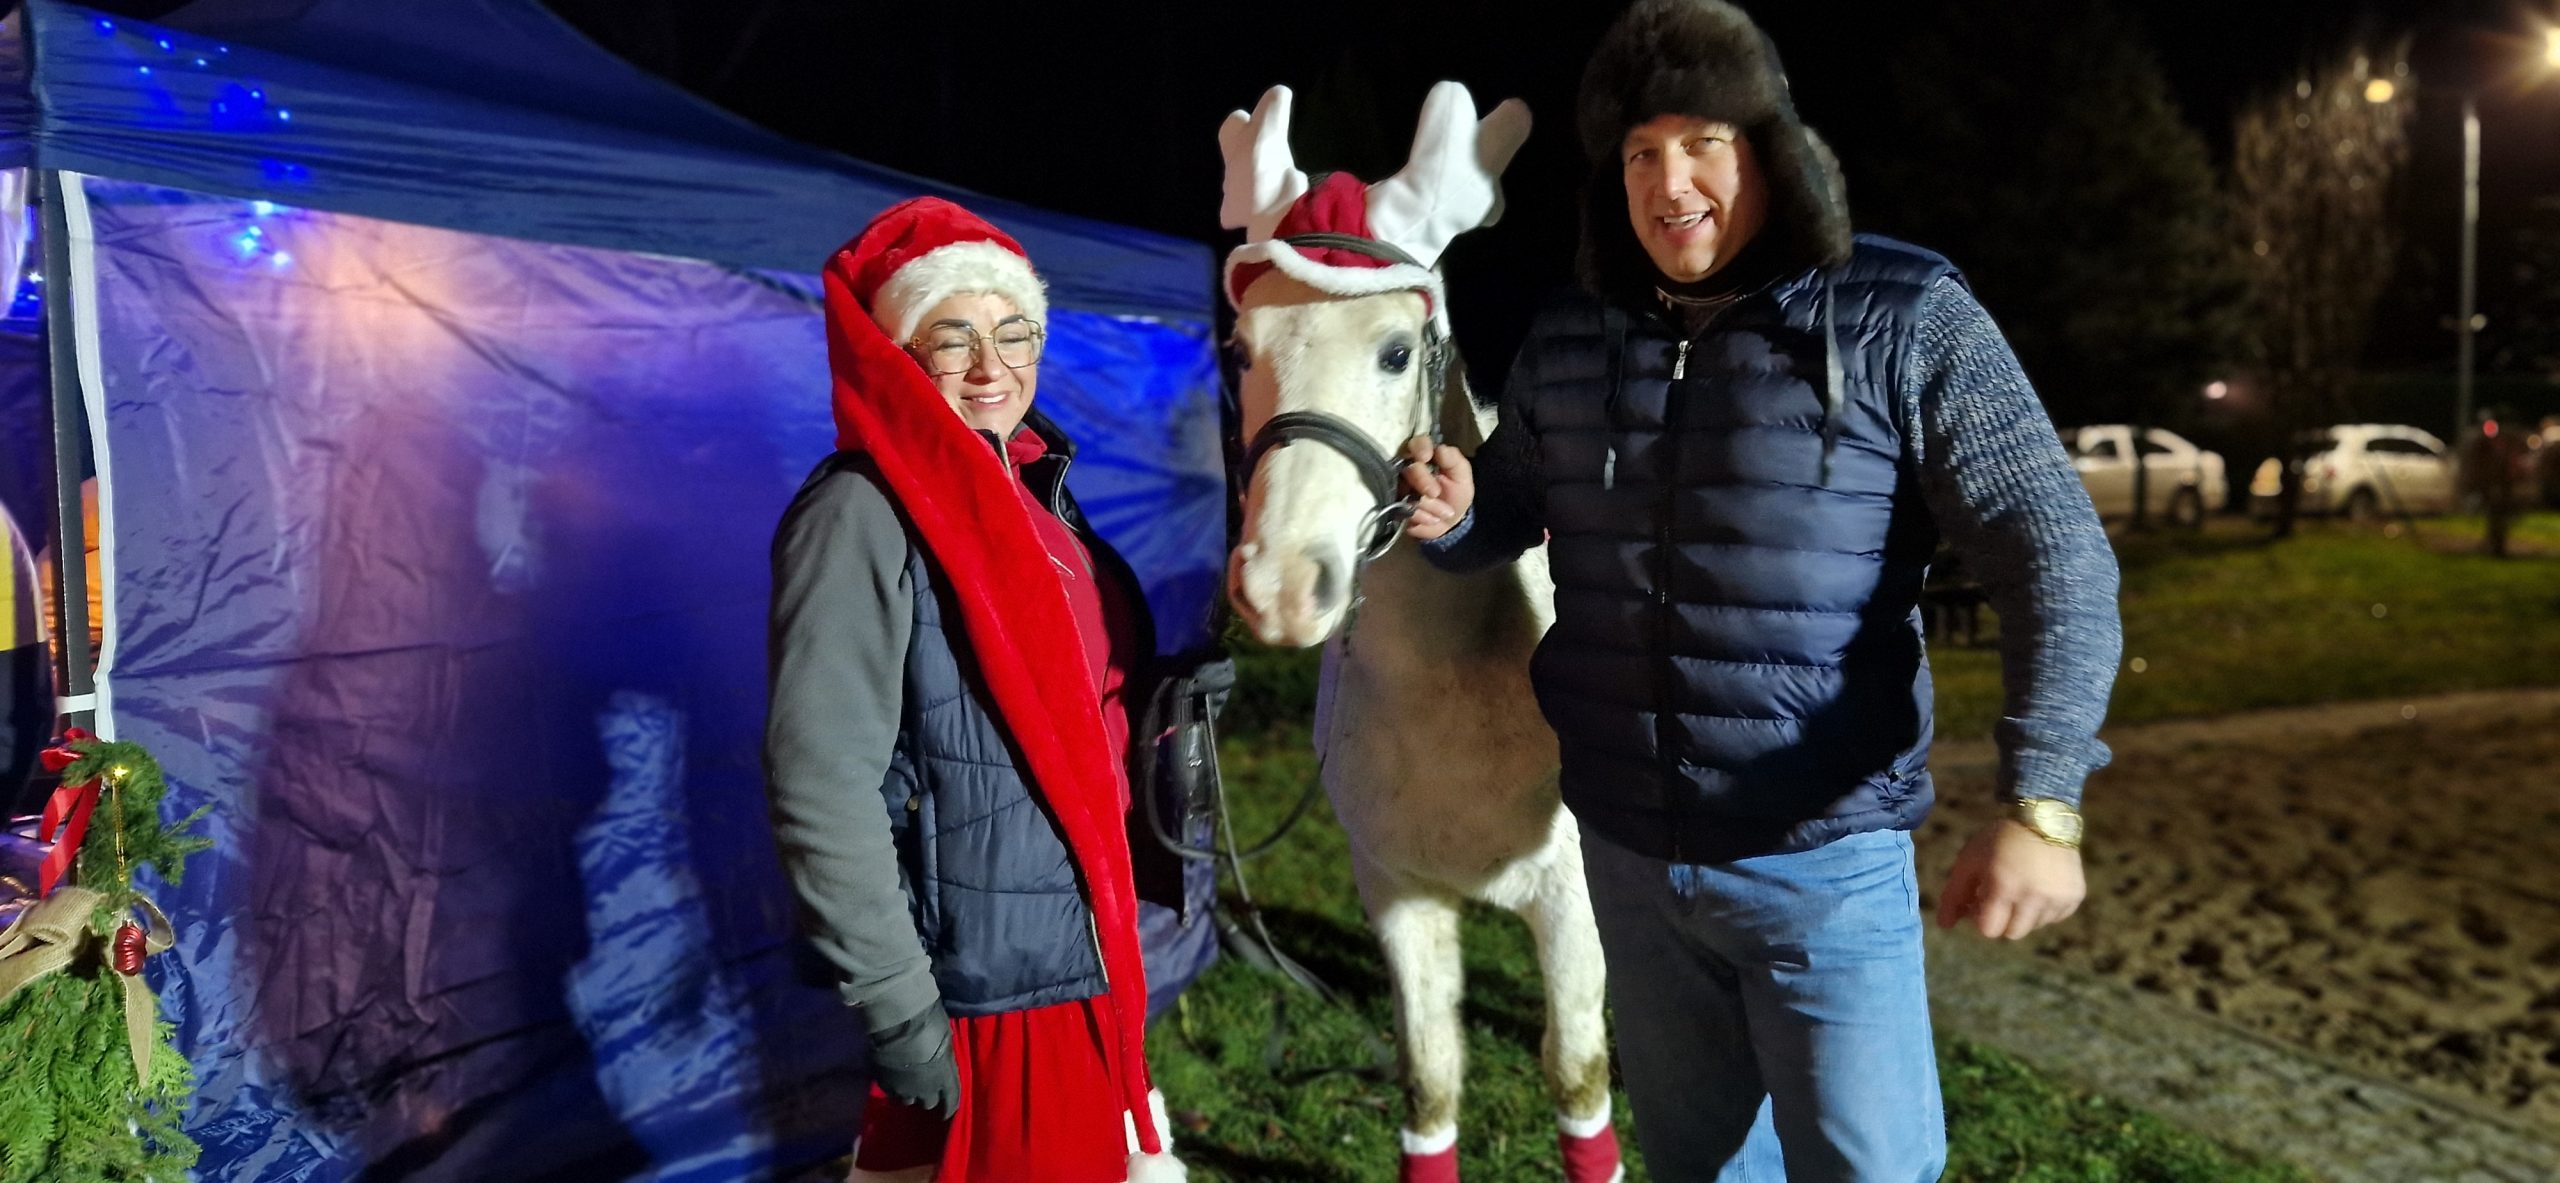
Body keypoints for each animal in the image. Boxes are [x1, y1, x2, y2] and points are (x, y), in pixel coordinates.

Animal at [1216, 83, 1621, 1183]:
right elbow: (1430, 1078)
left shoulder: (1574, 901)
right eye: (1239, 351)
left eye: (1397, 351)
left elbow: (1577, 1080)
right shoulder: (1398, 892)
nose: (1283, 584)